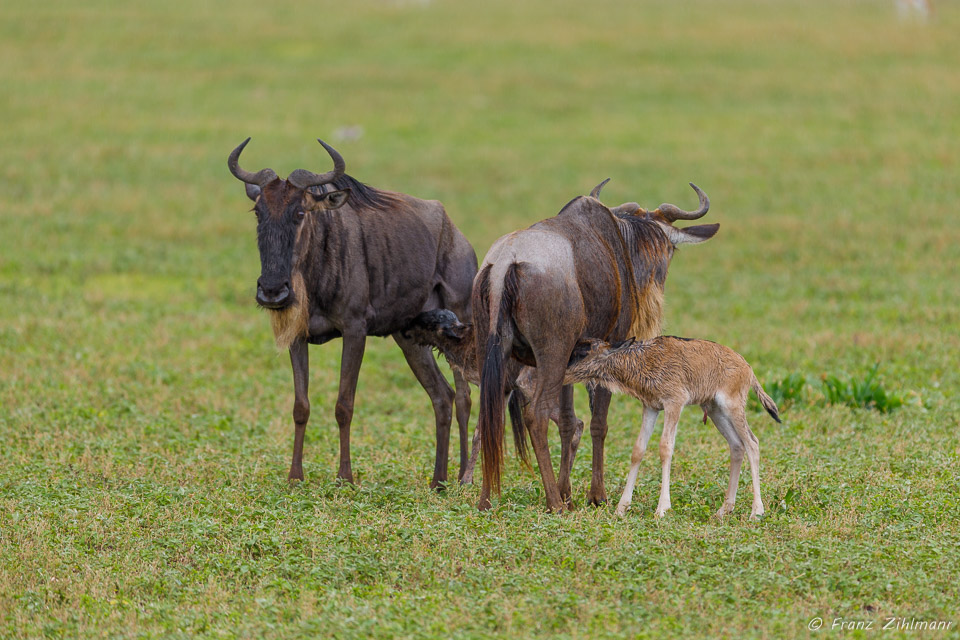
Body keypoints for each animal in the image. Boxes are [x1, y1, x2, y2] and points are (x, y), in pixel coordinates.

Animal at [564, 338, 780, 516]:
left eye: (582, 353)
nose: (562, 373)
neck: (642, 360)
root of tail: (748, 368)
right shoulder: (651, 407)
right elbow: (638, 450)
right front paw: (621, 508)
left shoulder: (675, 402)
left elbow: (665, 447)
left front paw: (662, 508)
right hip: (715, 410)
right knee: (736, 445)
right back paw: (724, 509)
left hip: (732, 406)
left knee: (752, 443)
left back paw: (756, 511)